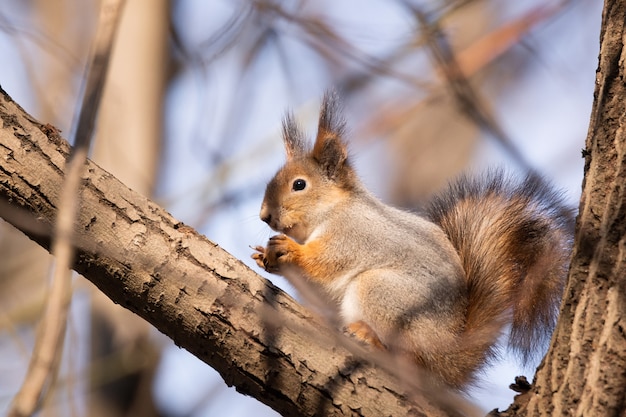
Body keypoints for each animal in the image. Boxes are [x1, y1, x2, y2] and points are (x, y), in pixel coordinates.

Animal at [251, 91, 572, 386]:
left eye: (299, 185)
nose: (264, 215)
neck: (333, 210)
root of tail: (446, 355)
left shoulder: (352, 236)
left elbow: (324, 262)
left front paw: (291, 250)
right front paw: (264, 256)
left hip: (385, 295)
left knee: (409, 359)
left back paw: (371, 337)